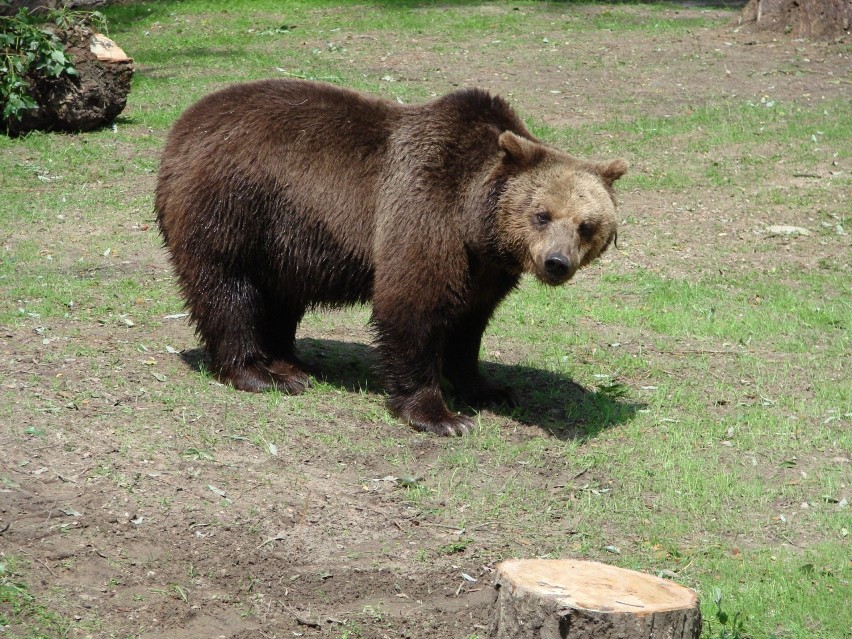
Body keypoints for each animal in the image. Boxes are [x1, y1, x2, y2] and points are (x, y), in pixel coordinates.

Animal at [158, 79, 624, 436]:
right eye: (541, 214)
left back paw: (288, 360)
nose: (556, 263)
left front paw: (488, 388)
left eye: (586, 225)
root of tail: (183, 125)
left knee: (280, 296)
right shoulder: (425, 212)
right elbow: (413, 305)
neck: (476, 223)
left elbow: (470, 323)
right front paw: (442, 416)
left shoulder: (485, 267)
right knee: (228, 289)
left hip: (285, 239)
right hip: (233, 206)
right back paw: (264, 373)